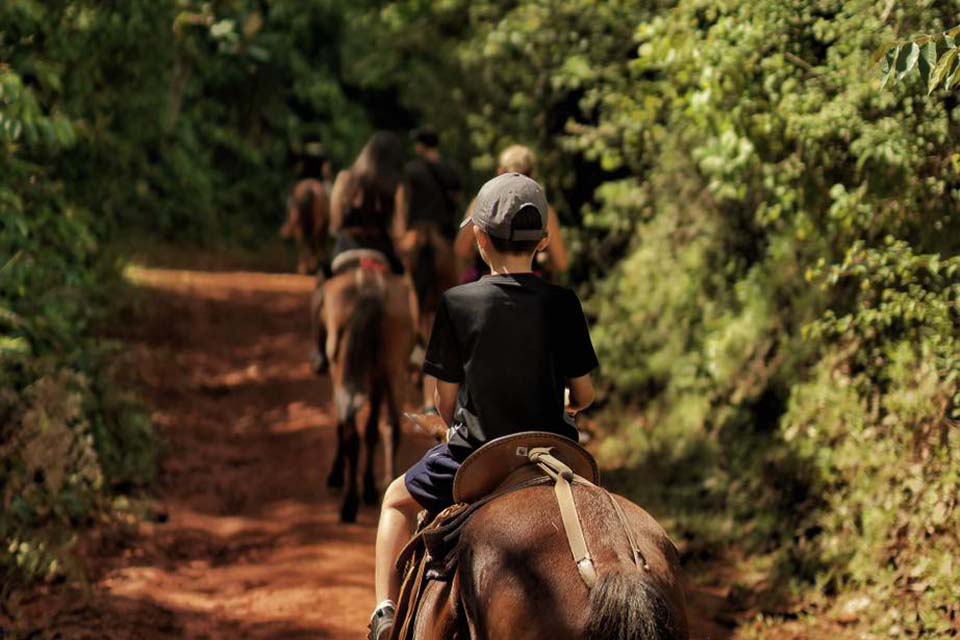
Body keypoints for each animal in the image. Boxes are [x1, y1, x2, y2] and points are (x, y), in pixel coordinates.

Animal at [318, 258, 416, 520]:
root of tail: (370, 290)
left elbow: (344, 425)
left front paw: (337, 475)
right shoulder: (378, 377)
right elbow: (372, 430)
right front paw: (370, 487)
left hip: (343, 368)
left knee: (350, 428)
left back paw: (349, 503)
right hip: (393, 368)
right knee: (392, 425)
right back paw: (384, 485)